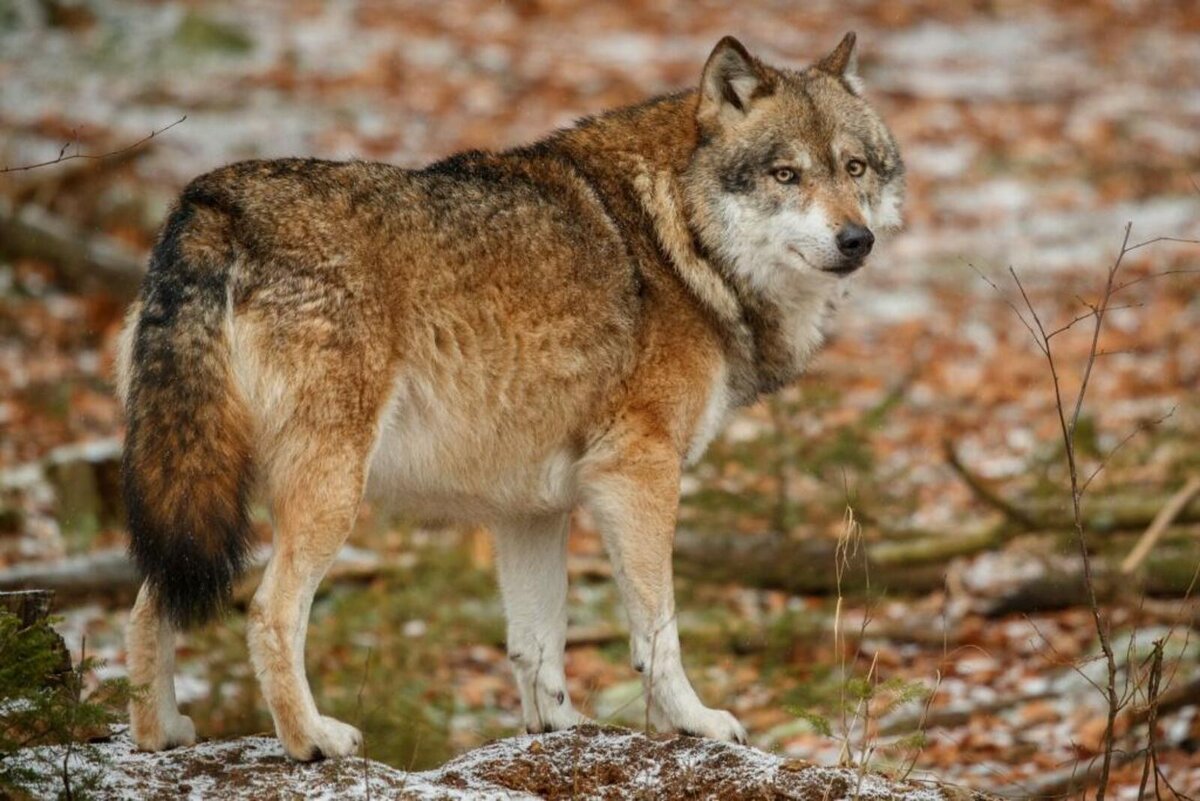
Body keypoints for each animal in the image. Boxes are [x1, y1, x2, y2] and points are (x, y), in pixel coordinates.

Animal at [119, 34, 902, 762]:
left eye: (854, 167)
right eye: (786, 174)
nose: (856, 239)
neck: (679, 235)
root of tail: (211, 201)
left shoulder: (529, 509)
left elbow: (537, 640)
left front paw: (558, 728)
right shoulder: (638, 473)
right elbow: (658, 631)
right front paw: (696, 721)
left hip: (202, 479)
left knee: (150, 597)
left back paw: (160, 735)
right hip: (326, 491)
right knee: (265, 613)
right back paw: (311, 738)